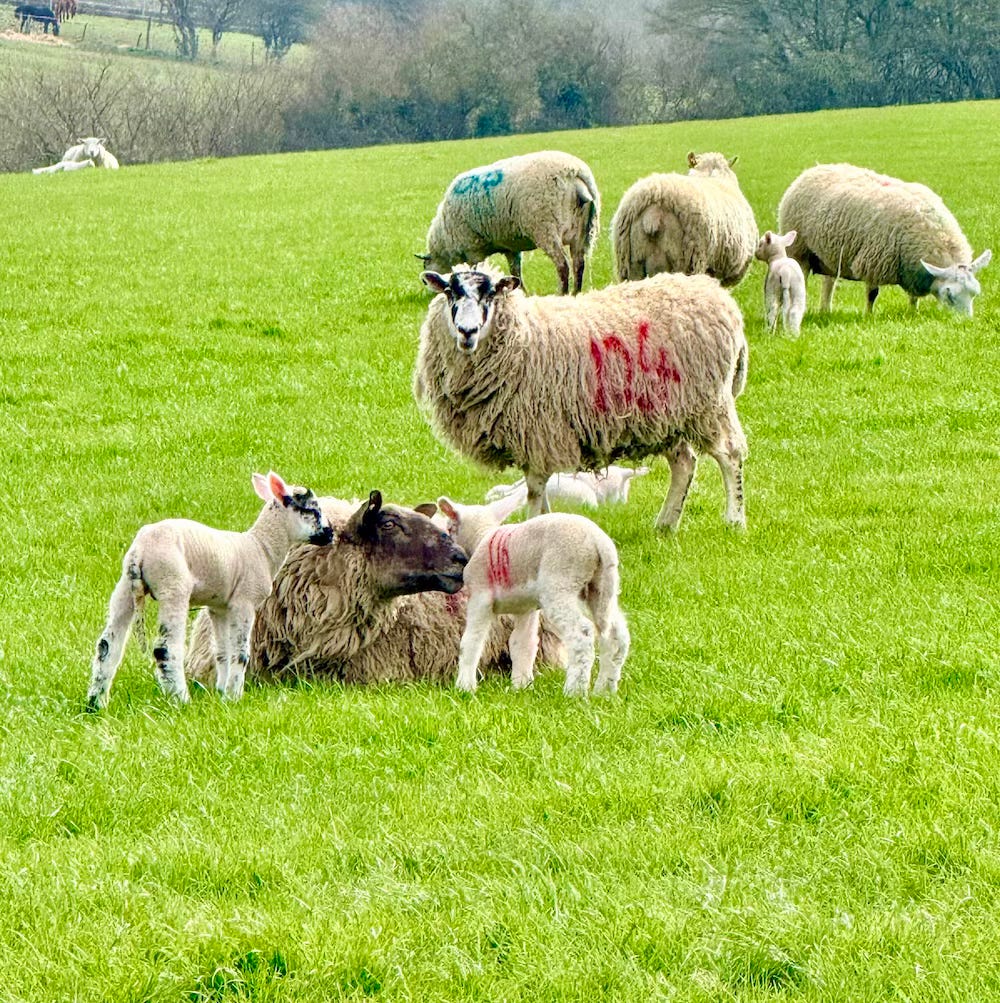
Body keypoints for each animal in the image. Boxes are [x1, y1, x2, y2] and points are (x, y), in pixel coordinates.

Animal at [86, 471, 334, 710]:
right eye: (312, 510)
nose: (330, 533)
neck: (261, 548)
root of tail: (140, 552)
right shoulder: (243, 601)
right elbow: (240, 653)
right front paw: (234, 696)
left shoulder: (219, 607)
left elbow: (222, 653)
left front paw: (222, 693)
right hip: (172, 584)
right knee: (165, 649)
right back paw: (181, 700)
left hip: (125, 588)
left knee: (107, 645)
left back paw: (96, 703)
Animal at [419, 150, 600, 295]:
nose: (429, 291)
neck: (444, 237)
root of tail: (574, 172)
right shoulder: (511, 248)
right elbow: (515, 271)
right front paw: (521, 292)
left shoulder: (472, 249)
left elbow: (476, 271)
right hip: (583, 232)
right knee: (579, 264)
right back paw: (576, 294)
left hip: (545, 229)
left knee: (563, 265)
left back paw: (562, 294)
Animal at [437, 496, 629, 697]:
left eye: (449, 528)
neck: (480, 538)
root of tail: (598, 541)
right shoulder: (525, 608)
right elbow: (522, 644)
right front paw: (521, 686)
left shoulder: (480, 597)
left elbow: (471, 641)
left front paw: (465, 687)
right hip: (602, 585)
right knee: (616, 636)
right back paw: (605, 690)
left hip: (560, 583)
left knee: (581, 634)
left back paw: (574, 691)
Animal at [777, 163, 991, 316]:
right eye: (949, 294)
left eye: (975, 293)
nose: (965, 322)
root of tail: (813, 169)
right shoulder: (874, 261)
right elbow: (872, 294)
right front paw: (868, 316)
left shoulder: (910, 268)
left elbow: (913, 297)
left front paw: (913, 312)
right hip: (799, 250)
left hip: (829, 255)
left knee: (828, 283)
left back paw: (825, 311)